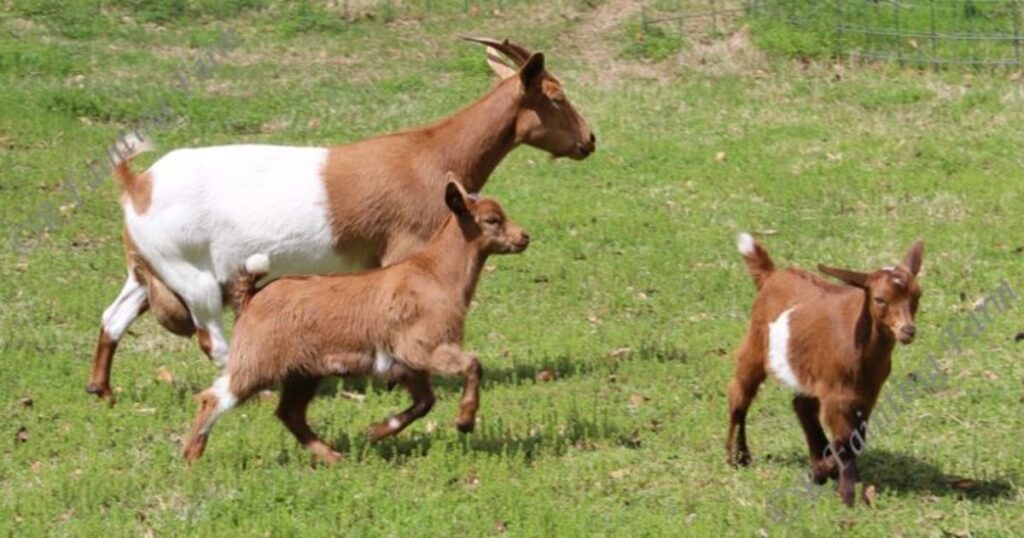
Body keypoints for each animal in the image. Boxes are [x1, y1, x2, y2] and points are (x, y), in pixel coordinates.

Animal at [88, 38, 594, 402]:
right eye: (555, 96)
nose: (589, 140)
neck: (432, 153)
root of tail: (137, 184)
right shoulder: (408, 249)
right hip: (191, 272)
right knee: (210, 338)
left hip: (149, 267)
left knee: (113, 317)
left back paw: (102, 390)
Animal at [182, 179, 529, 463]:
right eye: (492, 220)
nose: (524, 237)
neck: (434, 274)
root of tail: (252, 297)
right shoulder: (422, 347)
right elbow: (473, 365)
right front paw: (465, 421)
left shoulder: (408, 364)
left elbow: (425, 403)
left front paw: (376, 432)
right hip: (258, 359)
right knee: (214, 397)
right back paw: (191, 456)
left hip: (302, 372)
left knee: (290, 413)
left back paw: (333, 456)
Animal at [727, 233, 924, 506]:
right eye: (880, 299)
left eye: (917, 296)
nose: (907, 331)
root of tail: (772, 275)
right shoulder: (835, 396)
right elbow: (845, 443)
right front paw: (845, 494)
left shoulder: (867, 394)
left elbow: (856, 440)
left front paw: (825, 472)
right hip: (755, 345)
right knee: (739, 395)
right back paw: (736, 457)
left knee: (802, 406)